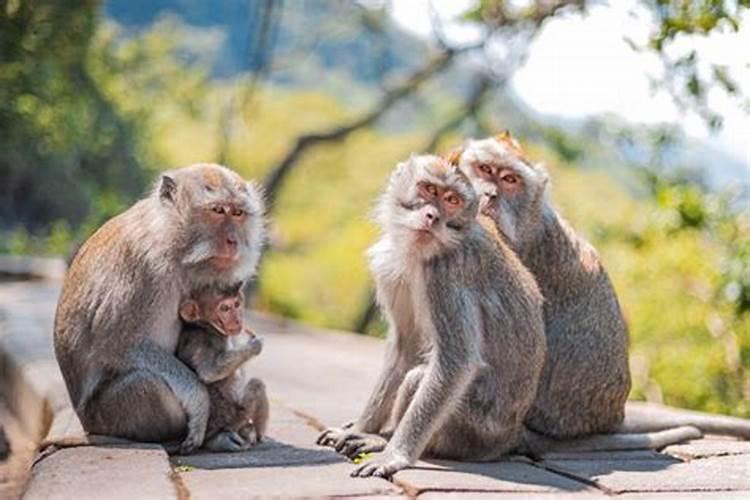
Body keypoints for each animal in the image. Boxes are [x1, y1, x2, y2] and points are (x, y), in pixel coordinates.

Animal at [176, 284, 270, 452]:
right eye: (225, 308)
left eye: (236, 304)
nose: (238, 319)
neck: (206, 326)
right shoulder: (203, 339)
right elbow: (209, 372)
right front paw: (254, 345)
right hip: (234, 419)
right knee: (257, 385)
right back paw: (257, 436)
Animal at [320, 154, 548, 478]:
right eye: (428, 189)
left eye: (451, 200)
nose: (431, 216)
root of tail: (509, 437)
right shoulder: (392, 272)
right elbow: (406, 347)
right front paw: (363, 429)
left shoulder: (445, 274)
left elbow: (456, 362)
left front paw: (394, 455)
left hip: (471, 433)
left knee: (419, 378)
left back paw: (387, 441)